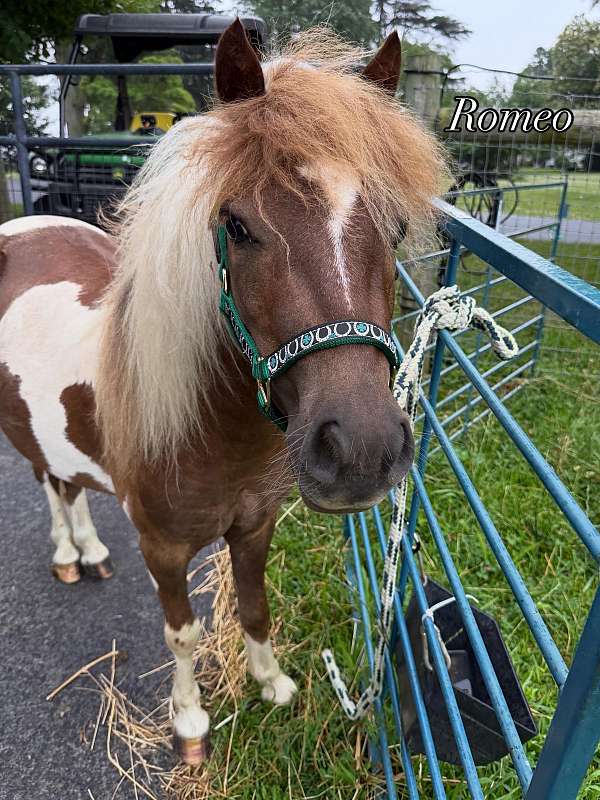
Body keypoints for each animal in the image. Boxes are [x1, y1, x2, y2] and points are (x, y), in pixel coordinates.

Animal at [0, 20, 446, 764]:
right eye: (235, 225)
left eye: (395, 226)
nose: (362, 452)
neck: (213, 433)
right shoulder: (162, 547)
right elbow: (181, 632)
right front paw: (190, 724)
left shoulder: (255, 524)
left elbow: (254, 604)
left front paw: (272, 685)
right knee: (48, 483)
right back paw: (68, 554)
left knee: (64, 481)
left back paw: (89, 552)